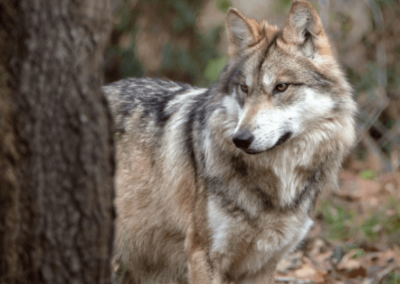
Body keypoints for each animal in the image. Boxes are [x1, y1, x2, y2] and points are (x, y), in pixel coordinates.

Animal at [104, 1, 356, 282]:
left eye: (281, 87)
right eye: (244, 89)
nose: (241, 139)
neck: (277, 187)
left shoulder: (264, 265)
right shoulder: (204, 255)